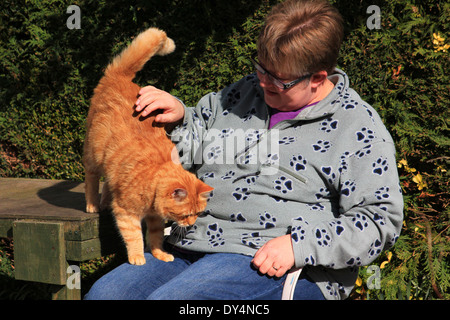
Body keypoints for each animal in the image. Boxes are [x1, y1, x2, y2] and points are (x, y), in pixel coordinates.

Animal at [83, 28, 214, 264]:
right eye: (186, 215)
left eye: (197, 213)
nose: (191, 224)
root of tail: (118, 76)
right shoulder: (126, 213)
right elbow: (134, 236)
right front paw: (137, 257)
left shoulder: (154, 218)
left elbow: (155, 237)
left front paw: (159, 254)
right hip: (93, 153)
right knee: (91, 177)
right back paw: (92, 204)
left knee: (107, 183)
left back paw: (105, 201)